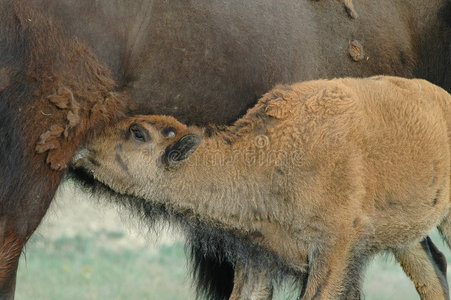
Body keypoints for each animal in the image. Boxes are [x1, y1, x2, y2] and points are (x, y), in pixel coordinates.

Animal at [0, 0, 451, 298]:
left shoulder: (334, 253)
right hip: (406, 230)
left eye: (139, 133)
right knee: (432, 269)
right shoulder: (257, 260)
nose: (84, 143)